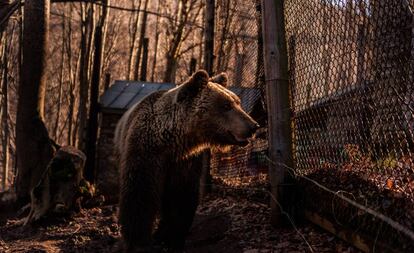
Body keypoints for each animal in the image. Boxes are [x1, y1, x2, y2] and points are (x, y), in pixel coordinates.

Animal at [114, 69, 258, 251]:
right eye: (226, 106)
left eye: (237, 102)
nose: (253, 126)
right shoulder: (145, 153)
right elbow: (139, 196)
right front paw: (138, 241)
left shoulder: (186, 162)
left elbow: (182, 199)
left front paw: (172, 238)